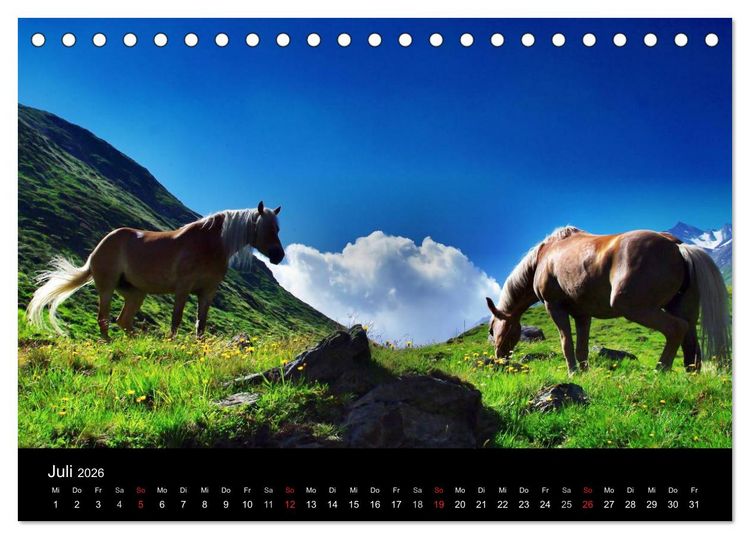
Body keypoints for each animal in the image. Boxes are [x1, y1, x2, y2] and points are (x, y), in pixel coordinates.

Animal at [27, 201, 284, 340]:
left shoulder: (207, 293)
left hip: (135, 293)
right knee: (104, 318)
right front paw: (172, 342)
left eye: (277, 229)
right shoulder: (183, 289)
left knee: (123, 321)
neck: (210, 244)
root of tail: (98, 249)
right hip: (107, 288)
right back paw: (109, 343)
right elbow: (177, 319)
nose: (278, 256)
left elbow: (201, 324)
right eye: (268, 228)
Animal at [485, 226, 730, 374]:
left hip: (636, 307)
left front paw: (572, 372)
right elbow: (581, 347)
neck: (544, 258)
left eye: (491, 330)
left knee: (676, 329)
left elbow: (566, 342)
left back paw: (660, 370)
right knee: (690, 342)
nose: (498, 360)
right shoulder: (582, 314)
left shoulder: (554, 306)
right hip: (682, 310)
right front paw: (583, 373)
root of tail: (678, 247)